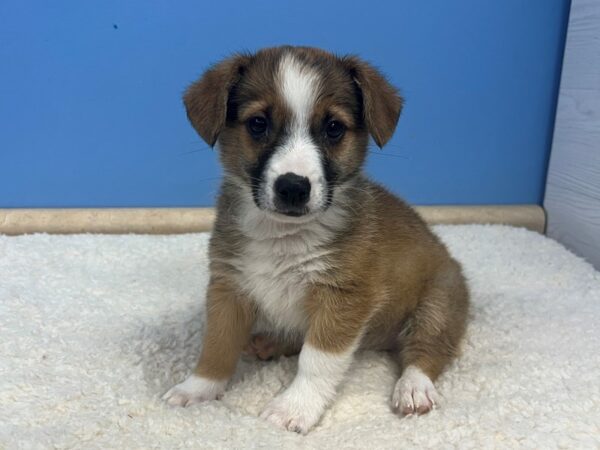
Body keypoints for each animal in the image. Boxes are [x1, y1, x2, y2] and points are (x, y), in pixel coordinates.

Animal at [163, 44, 468, 432]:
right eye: (258, 123)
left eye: (333, 128)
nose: (293, 187)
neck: (284, 235)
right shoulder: (229, 288)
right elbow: (217, 345)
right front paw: (198, 388)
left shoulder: (343, 299)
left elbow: (316, 360)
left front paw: (295, 407)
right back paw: (272, 341)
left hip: (438, 303)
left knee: (425, 350)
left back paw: (413, 387)